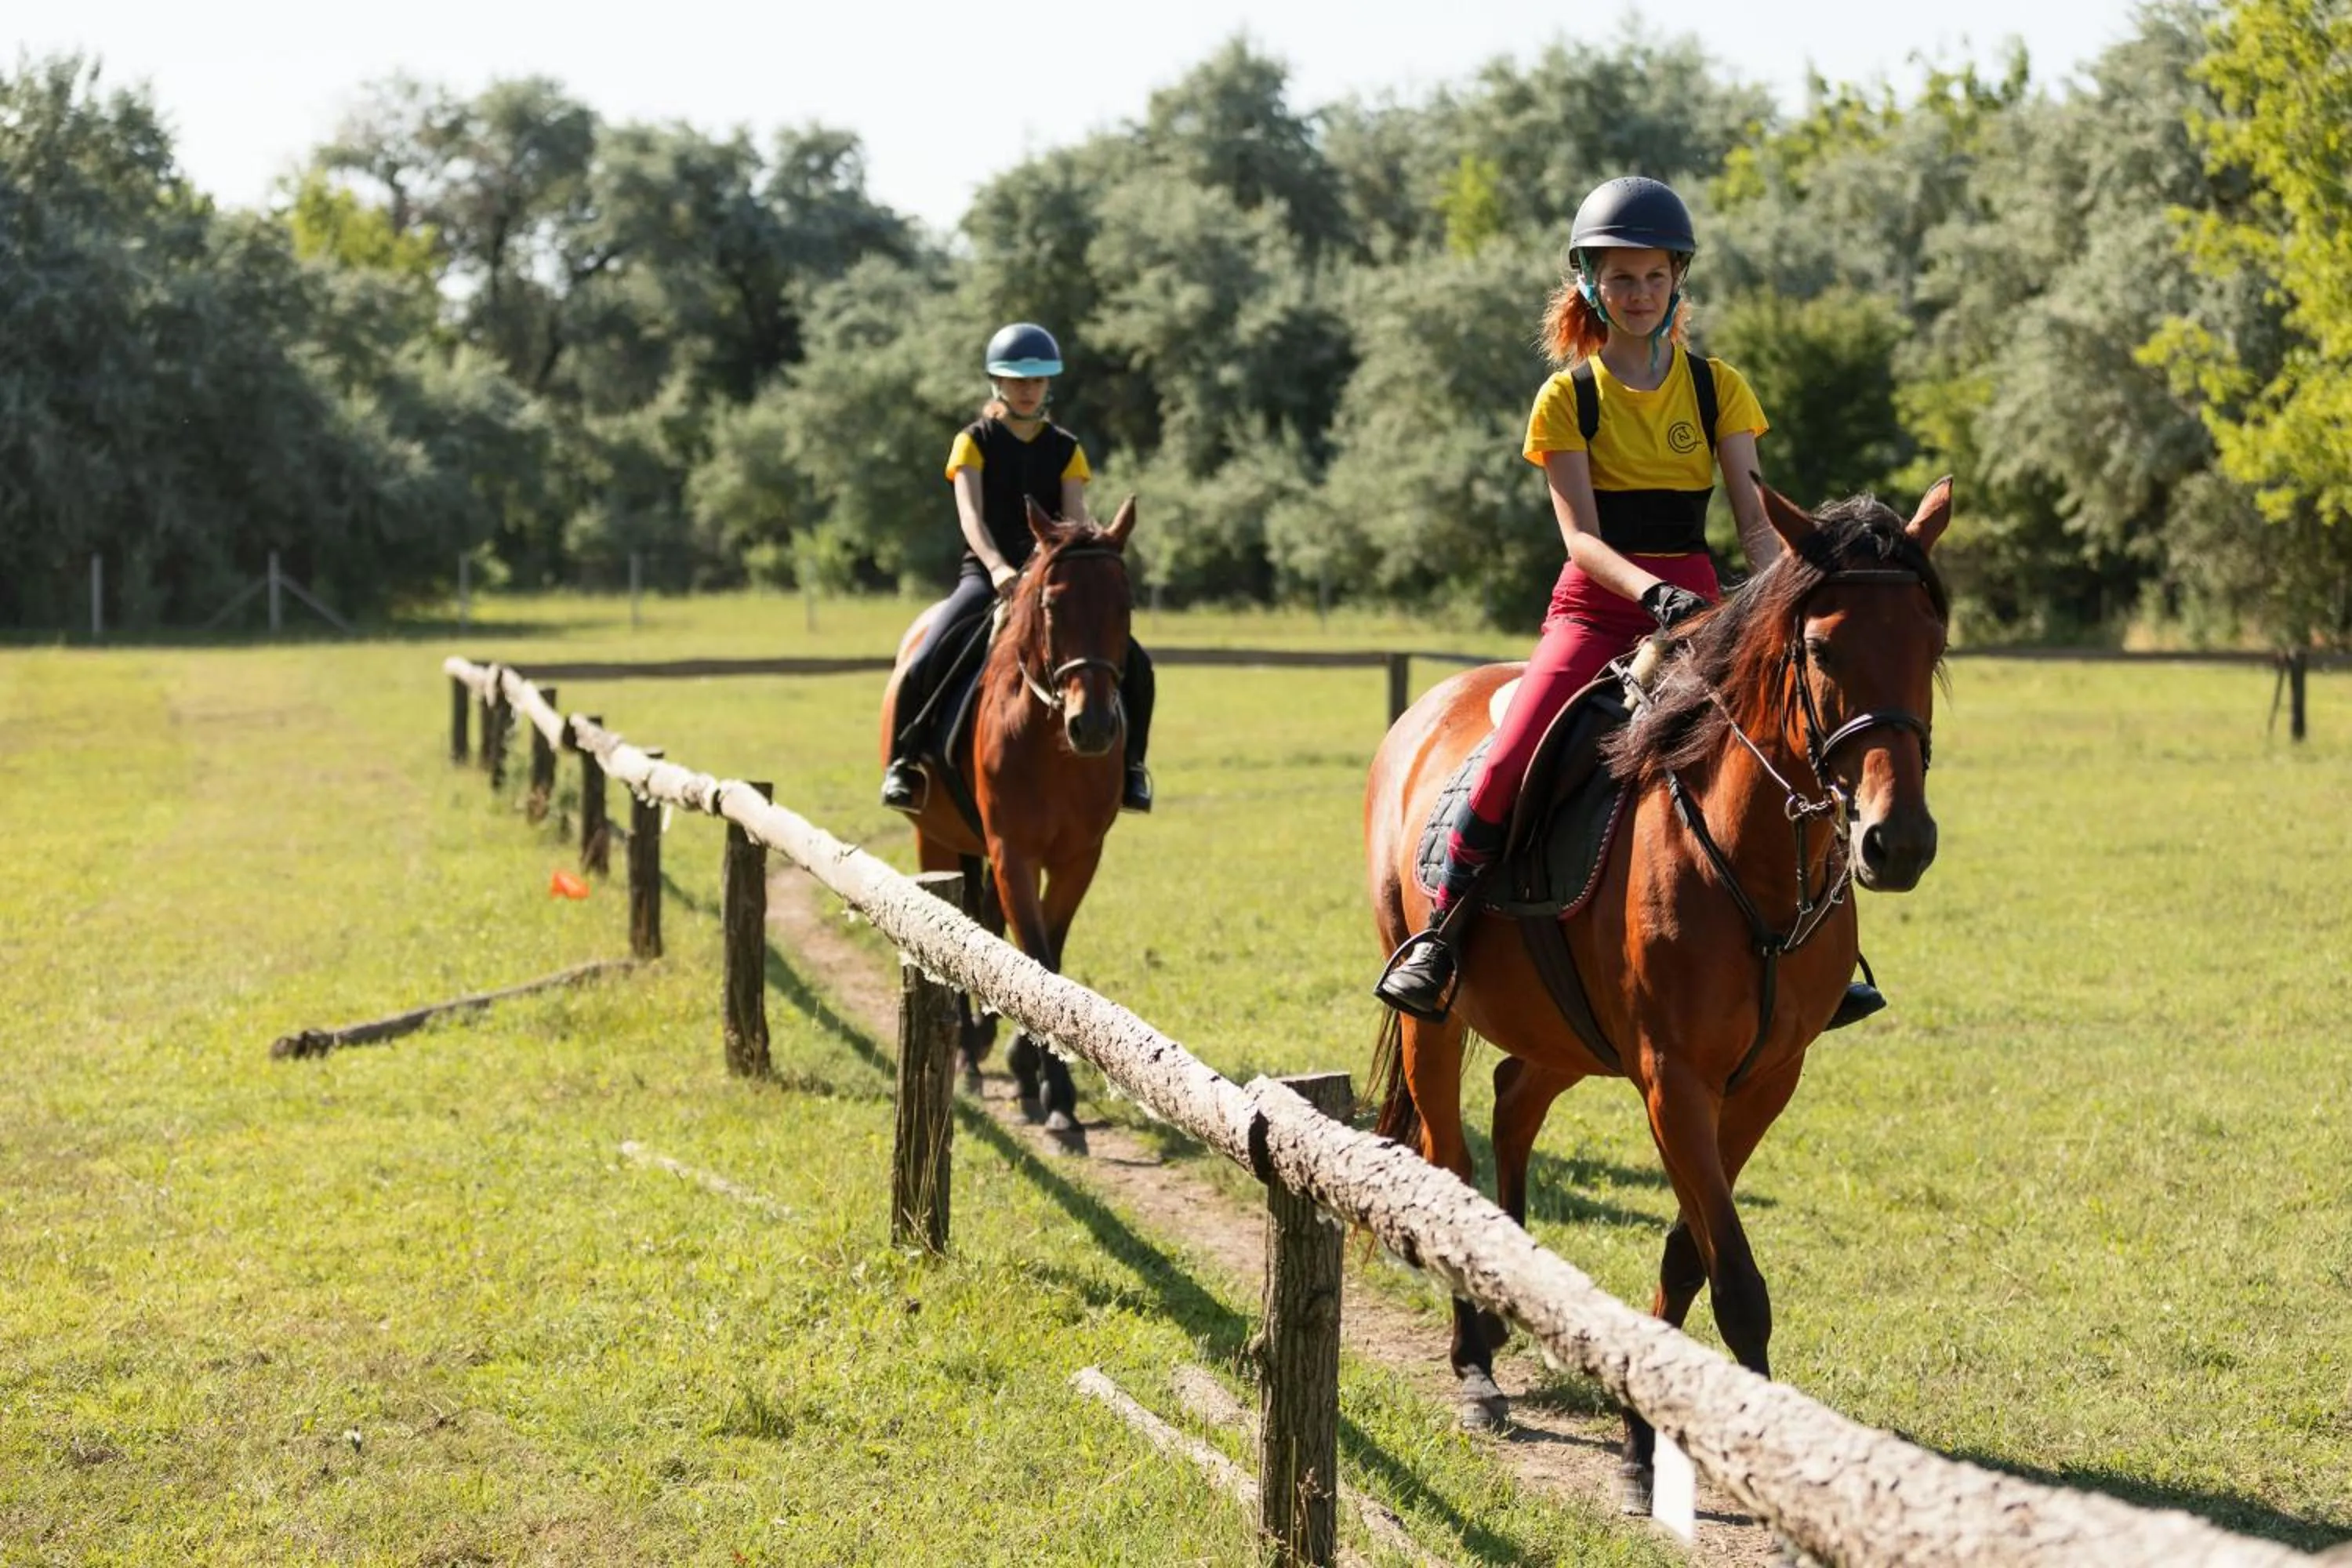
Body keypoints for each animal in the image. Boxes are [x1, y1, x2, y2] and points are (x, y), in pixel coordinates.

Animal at [878, 497, 1139, 1155]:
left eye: (1124, 605)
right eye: (1051, 604)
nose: (1093, 726)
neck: (1050, 742)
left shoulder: (1078, 857)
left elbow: (1047, 956)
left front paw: (1034, 1078)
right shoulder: (1011, 850)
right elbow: (1034, 959)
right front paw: (1059, 1102)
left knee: (988, 924)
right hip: (937, 837)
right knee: (953, 920)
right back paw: (969, 1056)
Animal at [1364, 479, 1952, 1508]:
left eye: (1930, 642)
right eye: (1823, 649)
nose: (1898, 841)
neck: (1751, 859)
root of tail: (1428, 708)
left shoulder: (1762, 1083)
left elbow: (1690, 1252)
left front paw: (1648, 1433)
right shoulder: (1675, 1080)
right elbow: (1738, 1281)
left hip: (1563, 1032)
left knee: (1513, 1100)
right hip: (1430, 1019)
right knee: (1449, 1160)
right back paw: (1476, 1360)